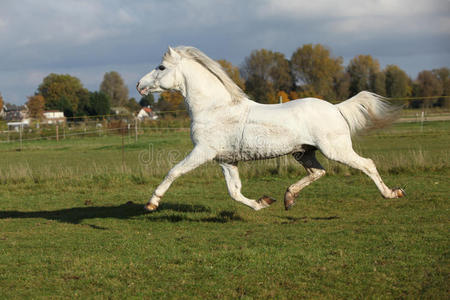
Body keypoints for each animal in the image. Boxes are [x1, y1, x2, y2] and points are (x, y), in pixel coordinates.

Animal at [136, 46, 404, 211]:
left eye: (161, 67)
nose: (139, 84)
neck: (215, 109)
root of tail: (336, 108)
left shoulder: (203, 152)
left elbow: (174, 172)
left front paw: (152, 203)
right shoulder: (226, 160)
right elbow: (235, 192)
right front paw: (262, 202)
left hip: (336, 149)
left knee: (367, 164)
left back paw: (392, 193)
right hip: (303, 152)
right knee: (318, 172)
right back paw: (288, 198)